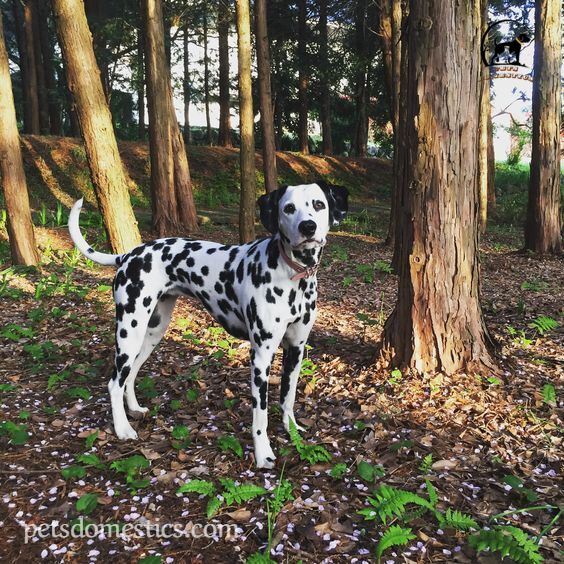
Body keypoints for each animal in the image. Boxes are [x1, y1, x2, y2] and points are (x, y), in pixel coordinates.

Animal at [68, 182, 346, 468]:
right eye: (289, 208)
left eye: (319, 204)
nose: (308, 227)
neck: (292, 275)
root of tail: (129, 255)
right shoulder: (261, 357)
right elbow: (260, 414)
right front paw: (263, 454)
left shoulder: (296, 349)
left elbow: (288, 399)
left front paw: (292, 431)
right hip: (129, 332)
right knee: (115, 383)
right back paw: (122, 429)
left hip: (151, 333)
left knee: (130, 374)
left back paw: (133, 408)